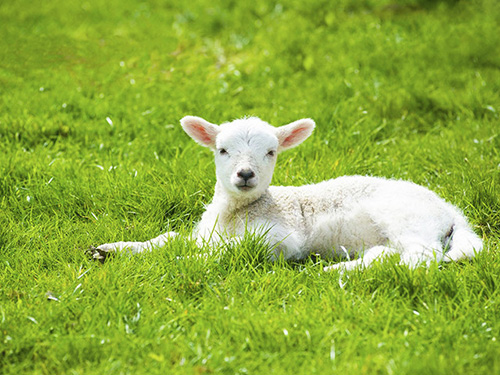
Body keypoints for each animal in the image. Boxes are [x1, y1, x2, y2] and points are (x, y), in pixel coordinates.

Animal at [91, 115, 484, 270]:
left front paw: (184, 262)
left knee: (421, 257)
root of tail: (450, 210)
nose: (245, 174)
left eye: (271, 152)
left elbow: (227, 251)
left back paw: (336, 273)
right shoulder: (203, 233)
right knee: (388, 255)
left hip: (407, 219)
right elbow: (167, 238)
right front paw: (113, 249)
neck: (234, 213)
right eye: (221, 150)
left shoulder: (280, 239)